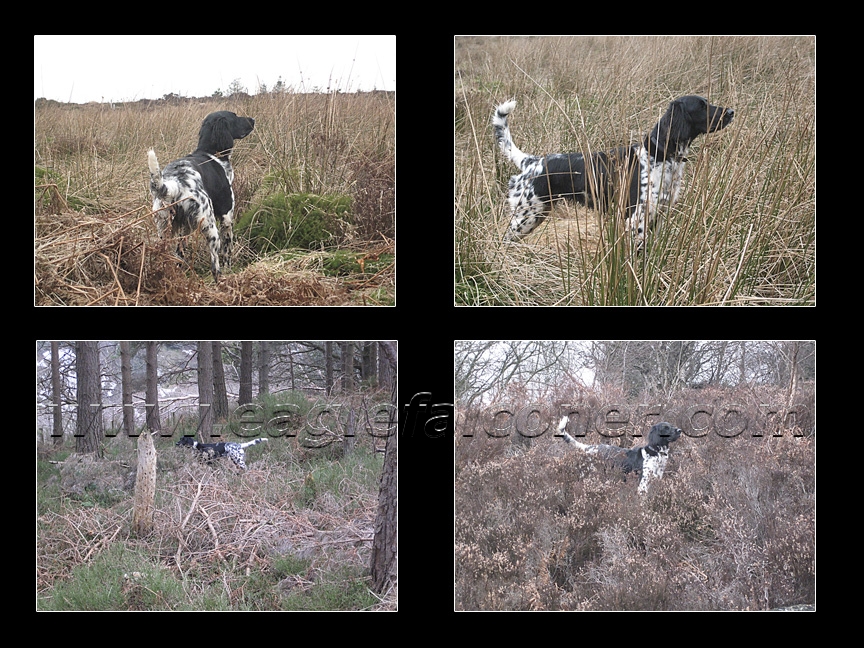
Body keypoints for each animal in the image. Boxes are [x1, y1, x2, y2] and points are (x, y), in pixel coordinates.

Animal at [148, 110, 255, 280]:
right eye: (235, 116)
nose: (253, 119)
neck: (211, 153)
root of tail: (175, 184)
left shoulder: (184, 228)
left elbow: (180, 252)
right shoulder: (226, 217)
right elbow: (227, 252)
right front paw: (229, 270)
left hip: (164, 230)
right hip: (210, 227)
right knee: (215, 263)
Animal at [492, 96, 736, 248]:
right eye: (702, 106)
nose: (732, 112)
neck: (659, 156)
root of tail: (532, 161)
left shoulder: (658, 217)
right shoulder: (636, 221)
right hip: (525, 217)